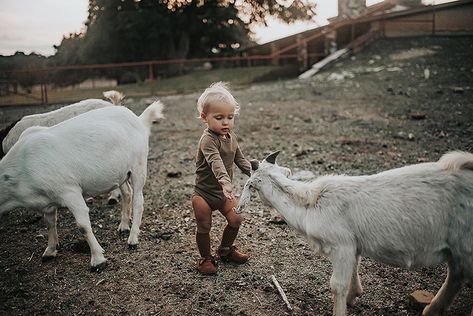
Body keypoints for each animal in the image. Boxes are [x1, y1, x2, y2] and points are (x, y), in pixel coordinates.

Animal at [0, 100, 163, 270]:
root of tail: (138, 119)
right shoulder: (48, 200)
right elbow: (50, 223)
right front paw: (50, 251)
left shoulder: (69, 191)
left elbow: (83, 226)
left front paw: (98, 259)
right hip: (122, 172)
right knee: (127, 193)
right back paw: (124, 225)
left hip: (139, 164)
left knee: (139, 200)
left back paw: (132, 239)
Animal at [238, 151, 470, 316]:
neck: (312, 204)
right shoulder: (352, 245)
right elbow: (353, 270)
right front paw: (353, 296)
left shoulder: (341, 245)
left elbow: (337, 285)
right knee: (456, 275)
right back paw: (432, 309)